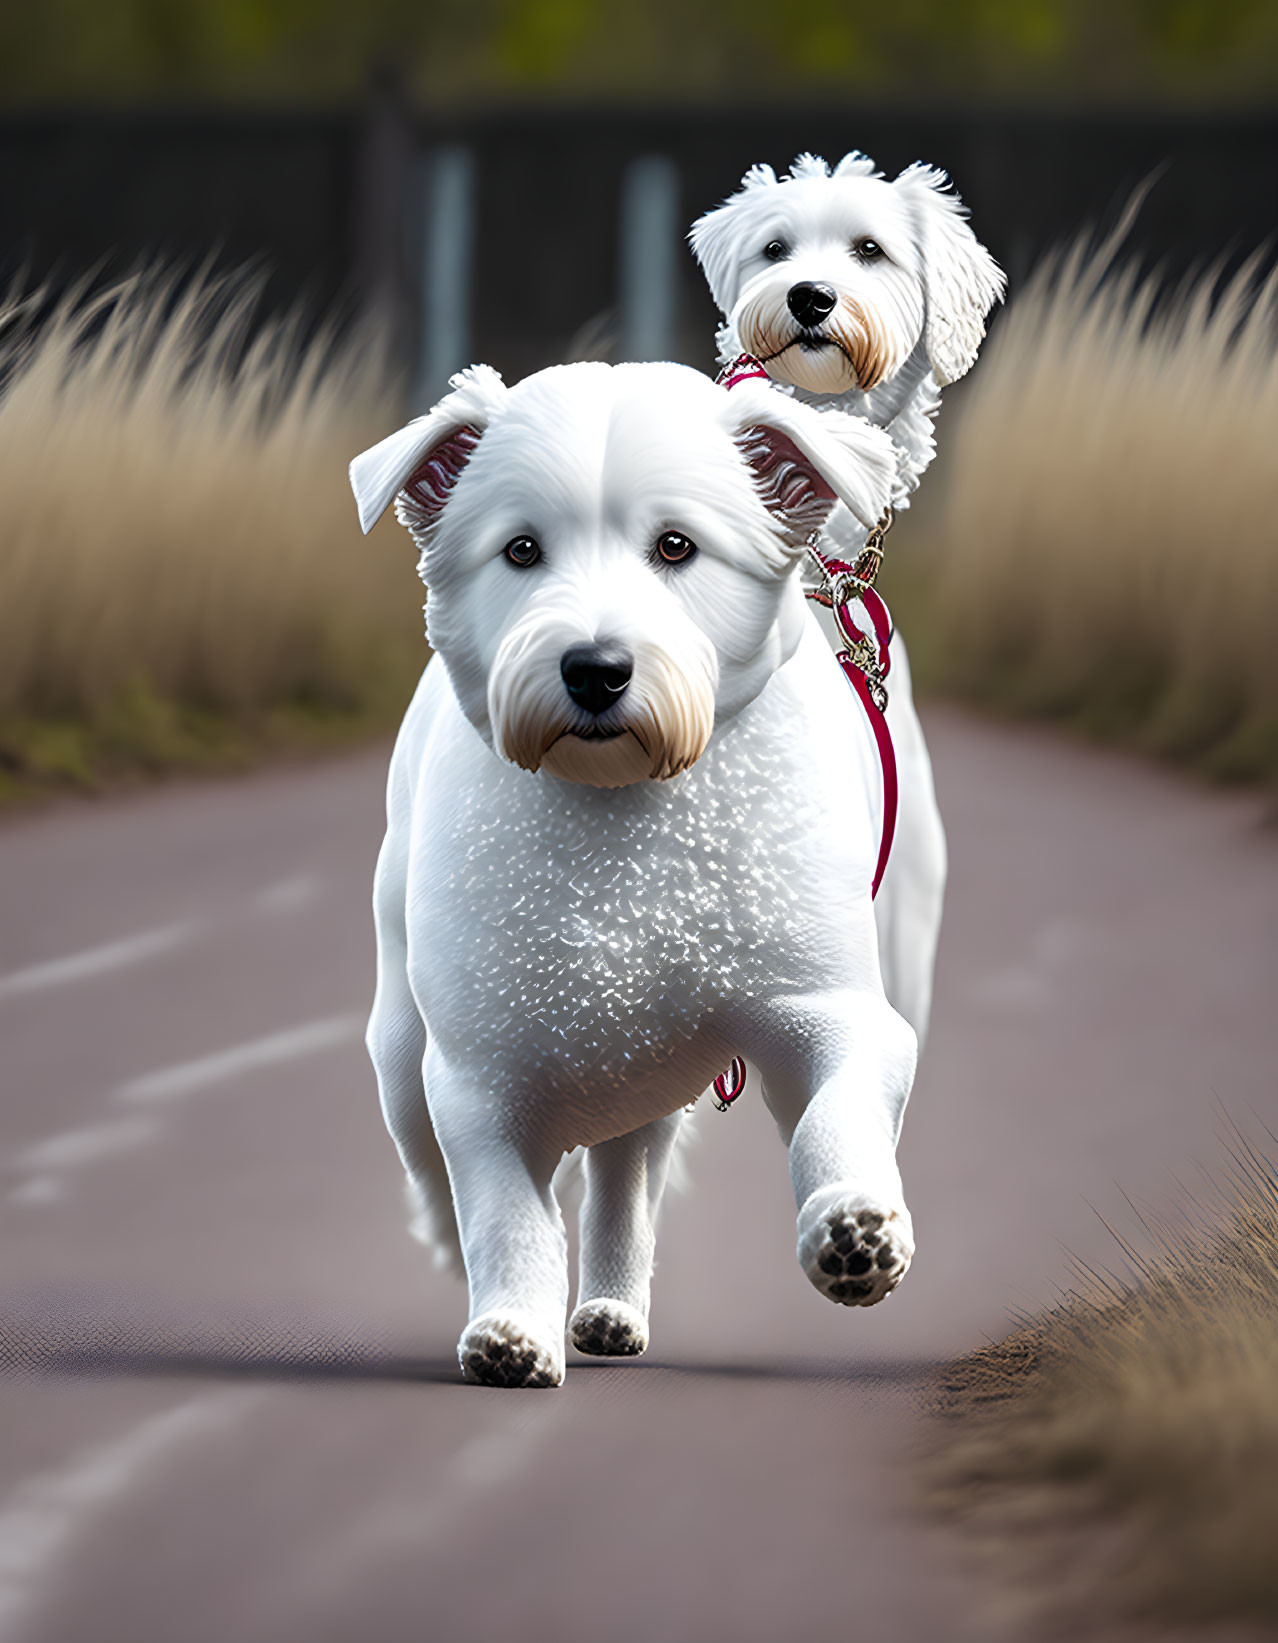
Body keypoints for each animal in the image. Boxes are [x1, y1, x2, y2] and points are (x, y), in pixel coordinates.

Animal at [353, 356, 919, 1386]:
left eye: (676, 545)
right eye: (521, 549)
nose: (595, 668)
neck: (622, 813)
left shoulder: (831, 1005)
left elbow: (838, 1104)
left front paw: (854, 1230)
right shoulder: (480, 1072)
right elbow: (504, 1208)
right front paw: (510, 1329)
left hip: (646, 1075)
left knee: (625, 1177)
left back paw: (613, 1308)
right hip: (403, 1044)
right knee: (439, 1161)